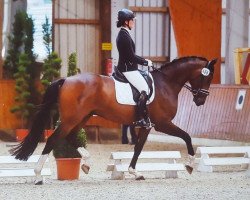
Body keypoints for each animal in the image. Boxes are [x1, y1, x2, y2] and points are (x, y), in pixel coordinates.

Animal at [10, 55, 217, 184]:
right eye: (206, 78)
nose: (201, 100)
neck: (165, 83)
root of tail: (66, 80)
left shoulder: (147, 125)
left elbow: (138, 147)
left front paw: (135, 172)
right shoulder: (162, 123)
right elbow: (186, 136)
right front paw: (189, 165)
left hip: (82, 117)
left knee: (70, 137)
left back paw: (86, 163)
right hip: (71, 119)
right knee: (53, 139)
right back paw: (38, 176)